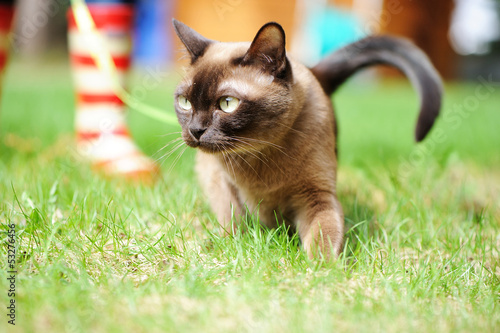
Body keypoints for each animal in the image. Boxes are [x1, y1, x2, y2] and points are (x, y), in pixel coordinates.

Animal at [171, 18, 442, 258]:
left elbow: (324, 236)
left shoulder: (317, 196)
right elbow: (233, 220)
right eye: (185, 102)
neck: (258, 157)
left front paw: (321, 271)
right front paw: (227, 247)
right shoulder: (220, 180)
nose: (196, 130)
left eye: (227, 103)